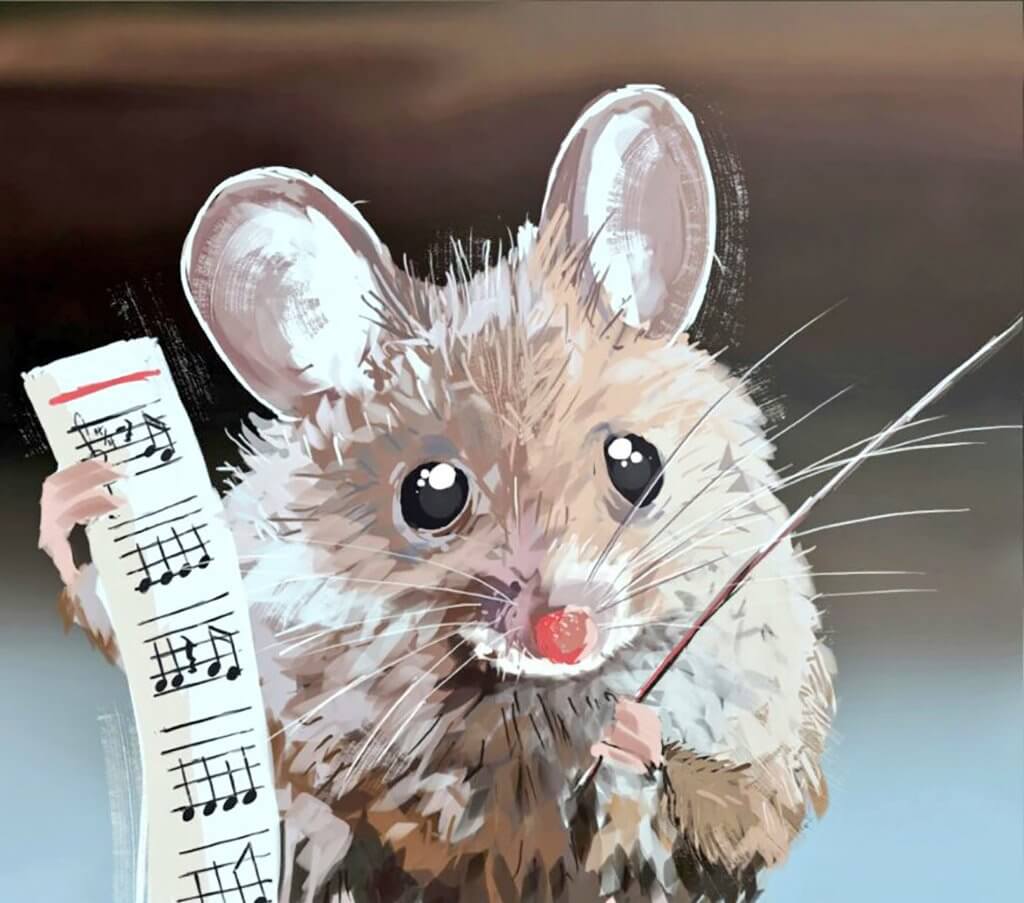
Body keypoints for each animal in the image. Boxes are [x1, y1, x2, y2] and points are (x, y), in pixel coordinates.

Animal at [41, 85, 834, 902]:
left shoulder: (769, 751)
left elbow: (725, 813)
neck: (541, 699)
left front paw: (629, 731)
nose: (566, 633)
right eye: (431, 494)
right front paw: (83, 500)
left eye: (636, 463)